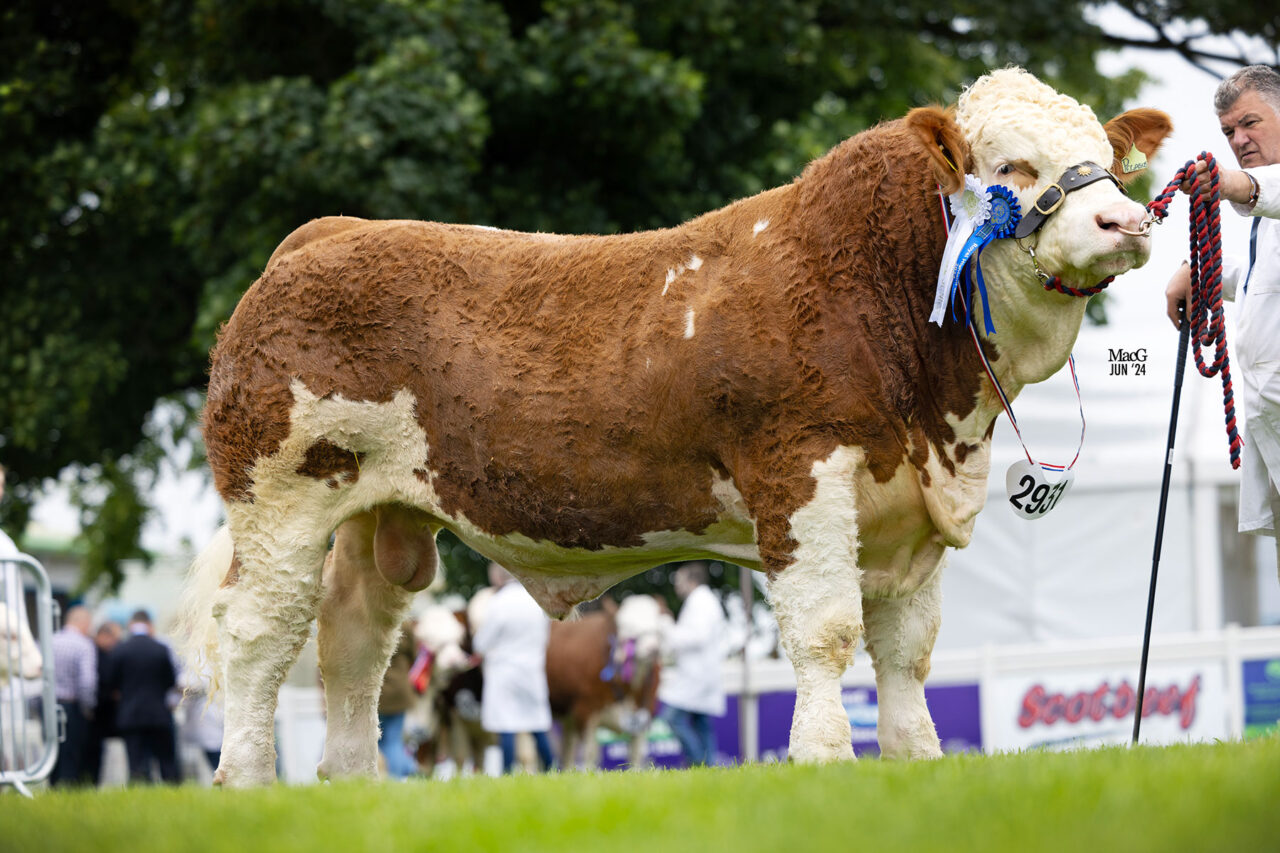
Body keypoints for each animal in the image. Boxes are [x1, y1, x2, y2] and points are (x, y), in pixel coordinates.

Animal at [177, 66, 1172, 783]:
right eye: (1011, 168)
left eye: (1107, 158)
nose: (1125, 218)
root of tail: (323, 234)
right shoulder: (801, 475)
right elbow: (826, 629)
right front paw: (822, 758)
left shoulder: (911, 510)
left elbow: (908, 651)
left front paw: (914, 759)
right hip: (281, 503)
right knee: (261, 636)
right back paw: (247, 779)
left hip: (379, 516)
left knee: (352, 645)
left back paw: (350, 782)